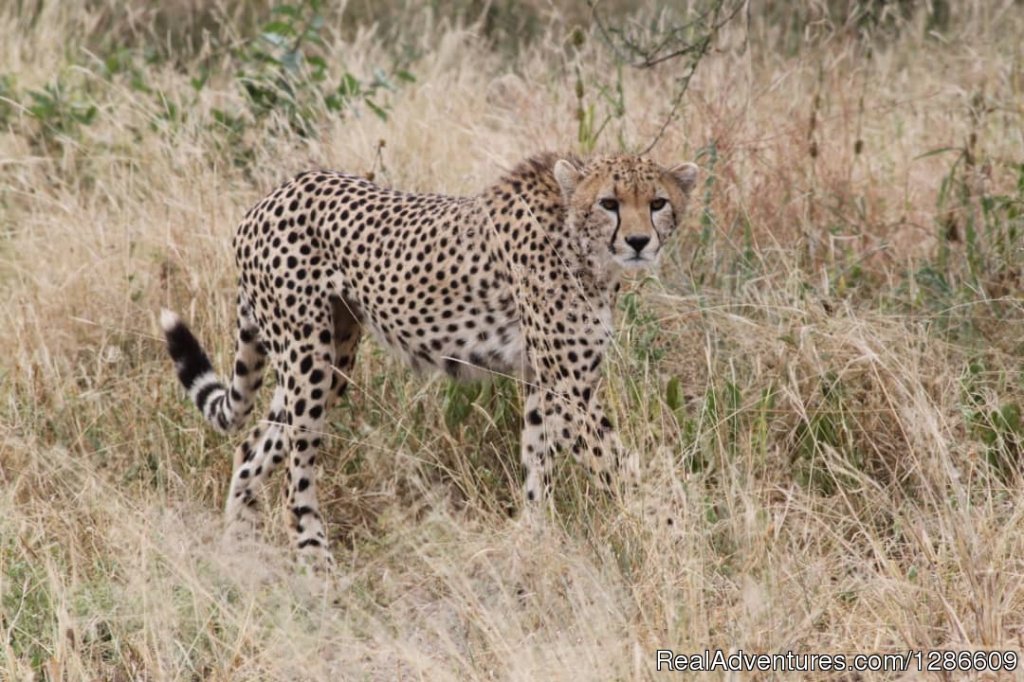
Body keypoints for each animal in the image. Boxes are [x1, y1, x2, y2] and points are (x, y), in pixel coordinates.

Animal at [161, 153, 696, 561]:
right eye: (609, 203)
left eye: (658, 203)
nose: (638, 242)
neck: (579, 243)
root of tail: (269, 197)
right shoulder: (569, 391)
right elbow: (626, 472)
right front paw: (678, 536)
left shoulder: (545, 383)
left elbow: (537, 459)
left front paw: (533, 536)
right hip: (307, 357)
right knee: (297, 465)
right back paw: (313, 559)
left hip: (331, 357)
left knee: (253, 447)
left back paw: (238, 552)